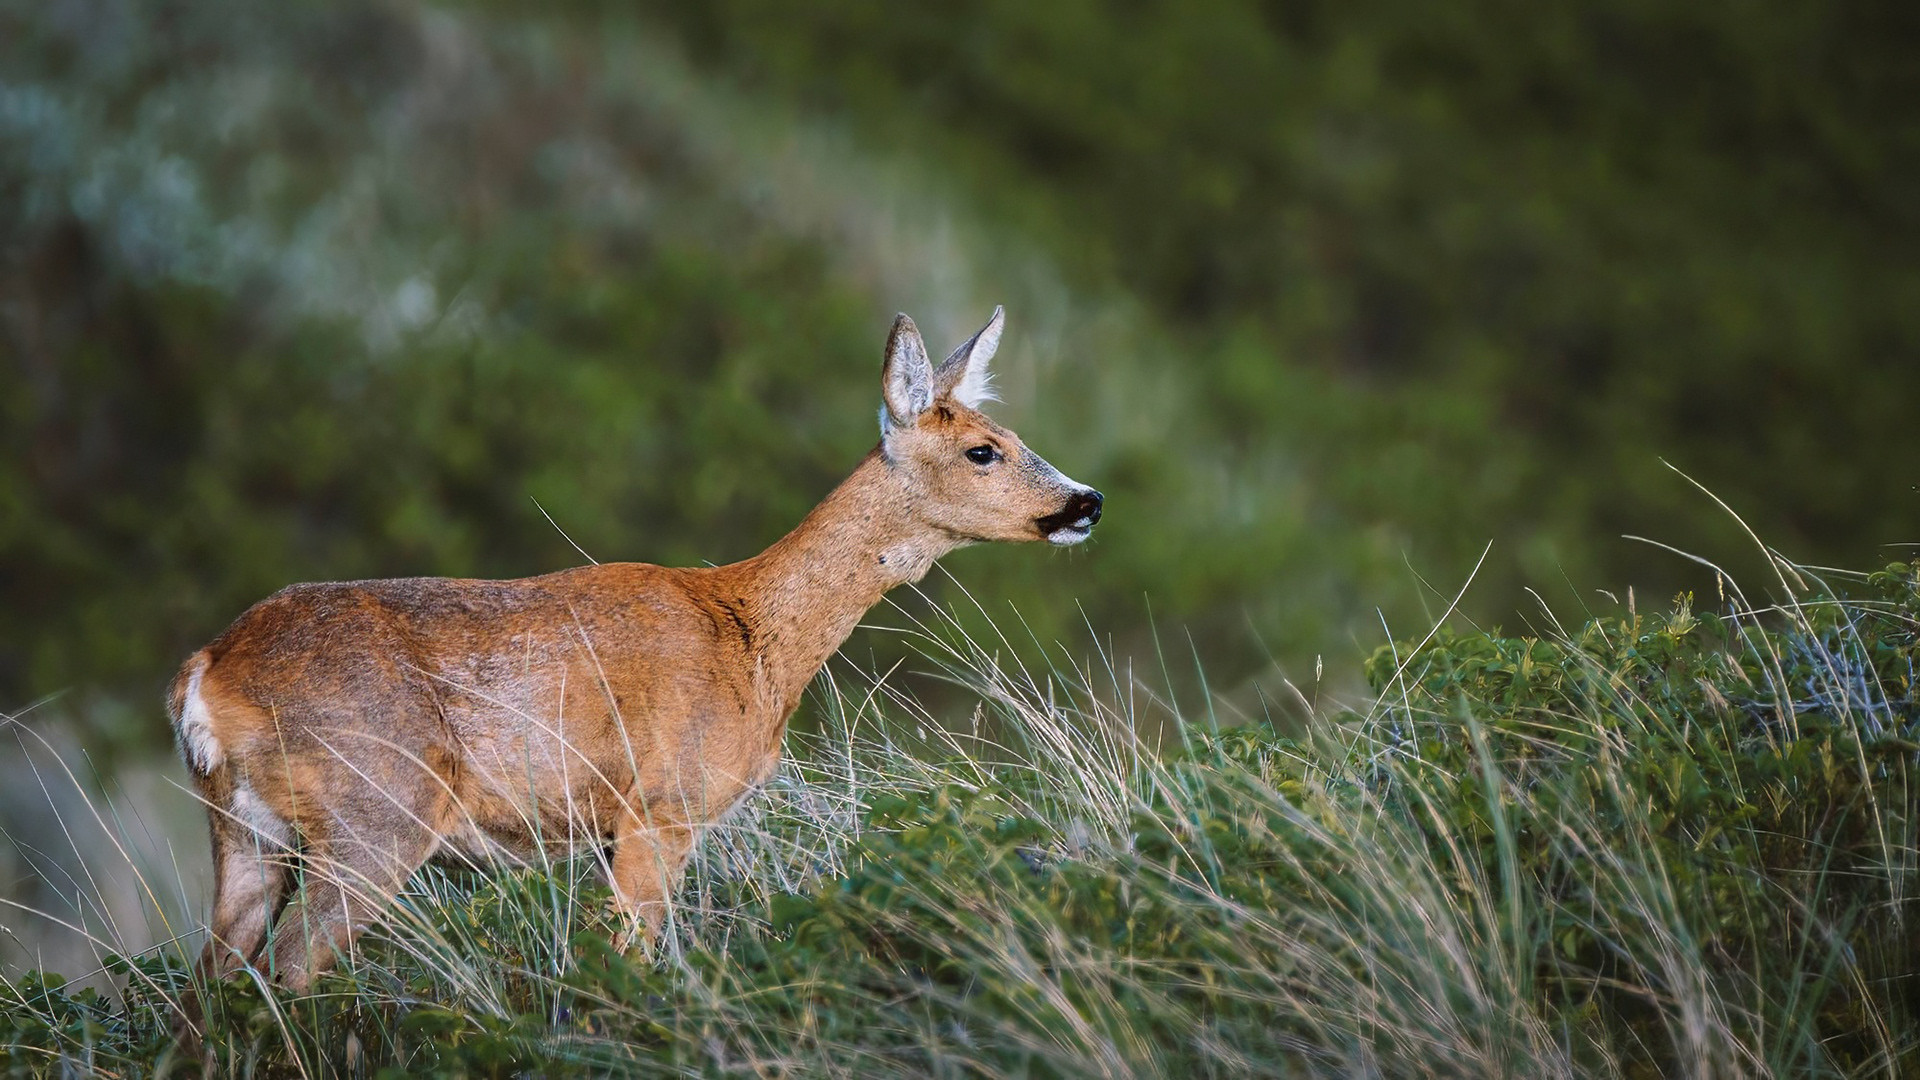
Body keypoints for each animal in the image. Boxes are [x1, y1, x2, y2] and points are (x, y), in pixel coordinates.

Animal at [166, 306, 1101, 1039]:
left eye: (1016, 439)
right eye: (983, 451)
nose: (1087, 501)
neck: (755, 642)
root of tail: (206, 674)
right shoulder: (662, 807)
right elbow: (630, 965)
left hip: (246, 831)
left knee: (208, 990)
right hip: (376, 811)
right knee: (289, 973)